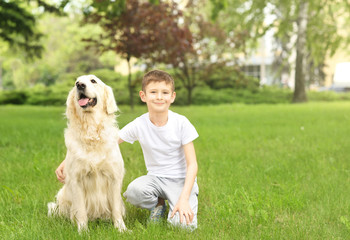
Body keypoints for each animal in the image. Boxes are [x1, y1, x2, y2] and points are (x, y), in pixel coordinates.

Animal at [47, 75, 126, 232]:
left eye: (93, 81)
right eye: (76, 82)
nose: (80, 86)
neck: (91, 132)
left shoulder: (114, 177)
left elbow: (116, 209)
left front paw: (121, 229)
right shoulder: (76, 179)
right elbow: (81, 211)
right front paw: (83, 231)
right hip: (62, 196)